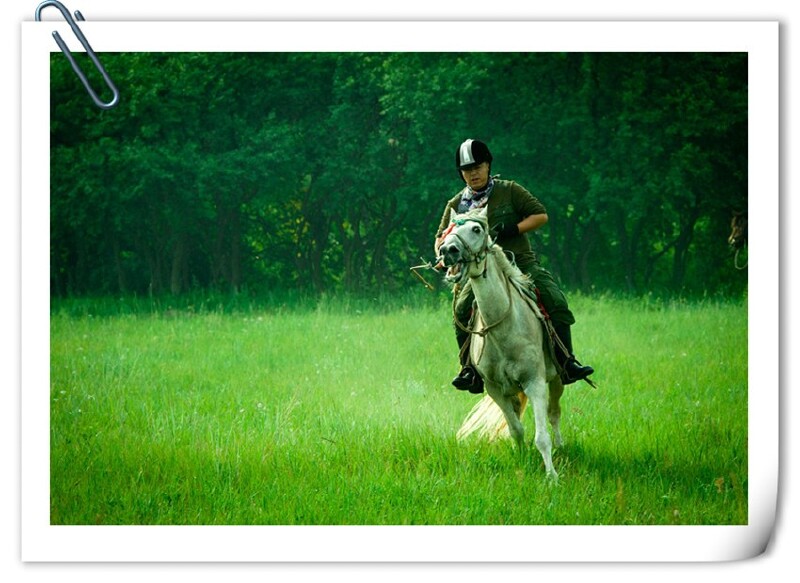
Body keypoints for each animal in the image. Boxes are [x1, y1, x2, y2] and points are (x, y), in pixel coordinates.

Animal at [438, 207, 564, 481]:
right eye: (447, 230)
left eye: (476, 229)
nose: (447, 250)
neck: (503, 329)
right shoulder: (495, 389)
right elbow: (516, 429)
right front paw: (522, 459)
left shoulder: (534, 382)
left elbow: (542, 436)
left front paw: (551, 477)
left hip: (558, 378)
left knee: (554, 414)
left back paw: (562, 447)